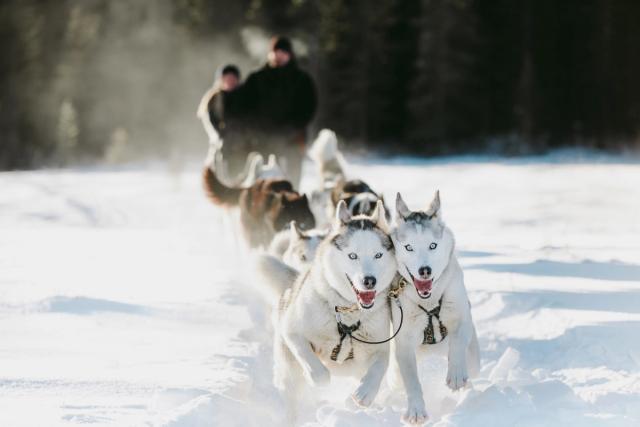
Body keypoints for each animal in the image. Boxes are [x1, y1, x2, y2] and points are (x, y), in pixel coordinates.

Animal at [272, 201, 400, 414]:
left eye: (378, 255)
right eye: (353, 256)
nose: (369, 281)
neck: (348, 312)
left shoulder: (380, 346)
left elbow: (380, 365)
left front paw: (365, 393)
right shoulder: (292, 330)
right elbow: (311, 362)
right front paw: (317, 377)